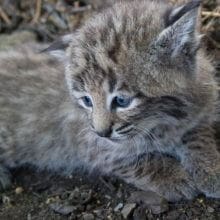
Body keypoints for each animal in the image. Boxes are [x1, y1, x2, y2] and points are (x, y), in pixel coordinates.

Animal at [0, 0, 220, 203]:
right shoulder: (92, 146)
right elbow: (135, 162)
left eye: (122, 100)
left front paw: (211, 170)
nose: (102, 132)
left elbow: (199, 138)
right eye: (87, 100)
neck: (163, 121)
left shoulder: (200, 110)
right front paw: (173, 177)